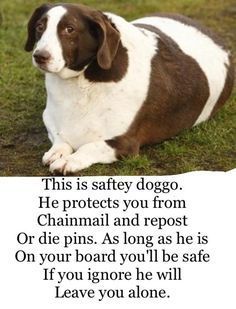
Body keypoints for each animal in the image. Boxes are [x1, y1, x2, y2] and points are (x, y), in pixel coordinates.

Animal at [24, 3, 234, 174]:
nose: (39, 56)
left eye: (70, 29)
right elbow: (61, 138)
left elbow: (89, 147)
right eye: (40, 27)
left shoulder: (124, 143)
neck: (84, 80)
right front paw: (58, 151)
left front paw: (71, 160)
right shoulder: (50, 119)